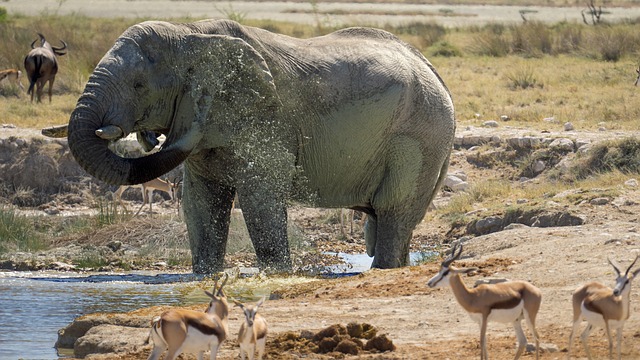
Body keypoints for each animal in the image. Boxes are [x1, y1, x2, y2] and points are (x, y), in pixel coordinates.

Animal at [67, 19, 458, 272]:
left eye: (138, 85)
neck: (189, 34)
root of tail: (433, 69)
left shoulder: (266, 118)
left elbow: (259, 198)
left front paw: (278, 275)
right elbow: (202, 204)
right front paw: (205, 276)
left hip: (419, 134)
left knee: (393, 211)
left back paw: (382, 270)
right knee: (394, 221)